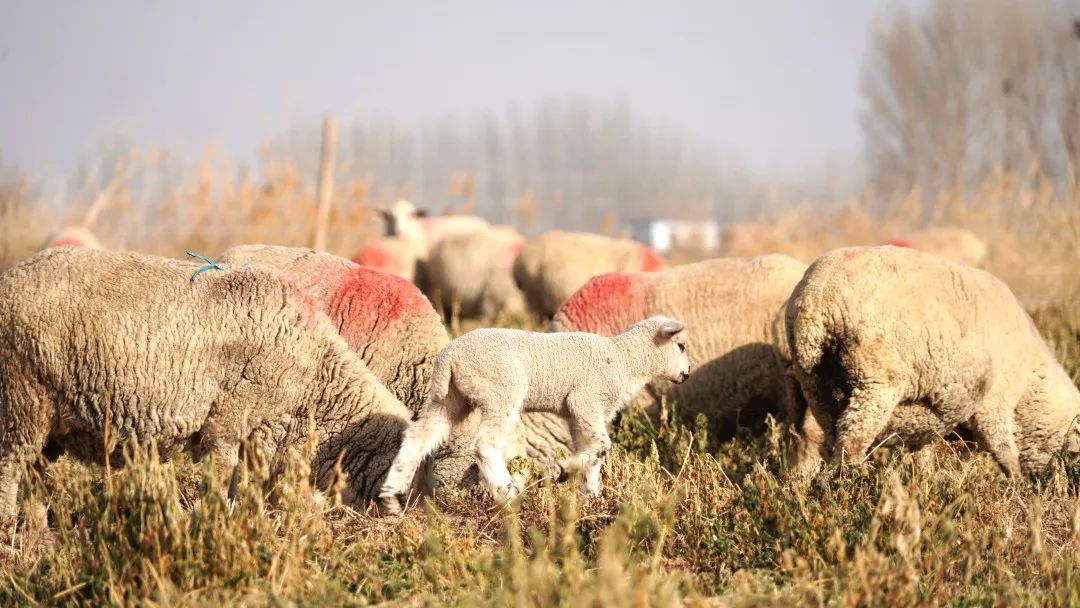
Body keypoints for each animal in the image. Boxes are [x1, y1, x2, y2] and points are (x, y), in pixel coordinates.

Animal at [0, 247, 423, 523]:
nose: (404, 519)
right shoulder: (229, 420)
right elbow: (220, 477)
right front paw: (213, 523)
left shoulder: (259, 434)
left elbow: (247, 486)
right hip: (20, 399)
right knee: (9, 468)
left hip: (47, 422)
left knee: (33, 475)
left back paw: (39, 534)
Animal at [378, 316, 690, 513]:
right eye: (681, 345)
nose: (687, 374)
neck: (626, 360)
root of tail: (449, 357)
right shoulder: (586, 401)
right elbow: (602, 445)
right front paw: (565, 470)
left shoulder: (578, 414)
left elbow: (594, 452)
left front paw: (591, 496)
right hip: (501, 389)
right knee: (484, 444)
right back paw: (507, 494)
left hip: (451, 398)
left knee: (419, 436)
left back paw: (391, 494)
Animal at [785, 245, 1080, 481]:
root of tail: (817, 297)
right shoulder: (995, 403)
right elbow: (1004, 452)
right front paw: (1017, 487)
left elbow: (933, 453)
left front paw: (930, 480)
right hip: (875, 377)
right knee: (852, 439)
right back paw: (853, 480)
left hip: (815, 382)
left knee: (830, 437)